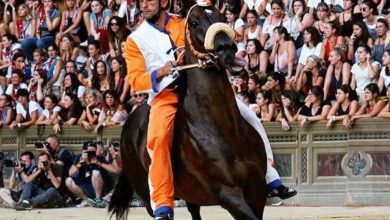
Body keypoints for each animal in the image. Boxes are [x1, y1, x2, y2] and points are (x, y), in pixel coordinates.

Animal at [109, 3, 268, 220]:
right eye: (193, 22)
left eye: (222, 17)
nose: (226, 49)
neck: (221, 126)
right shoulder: (228, 193)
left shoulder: (257, 190)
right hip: (146, 194)